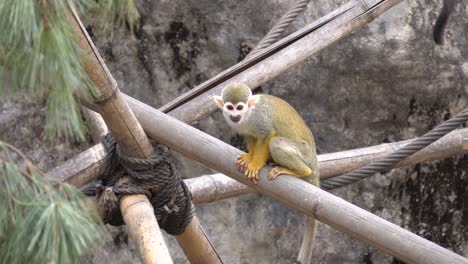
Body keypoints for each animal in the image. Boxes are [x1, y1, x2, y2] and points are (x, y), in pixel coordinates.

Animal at [215, 83, 318, 264]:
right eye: (229, 108)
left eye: (239, 107)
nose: (235, 116)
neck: (247, 116)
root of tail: (313, 159)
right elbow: (250, 136)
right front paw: (249, 157)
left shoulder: (259, 118)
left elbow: (267, 135)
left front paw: (255, 164)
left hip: (304, 153)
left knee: (275, 142)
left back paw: (299, 170)